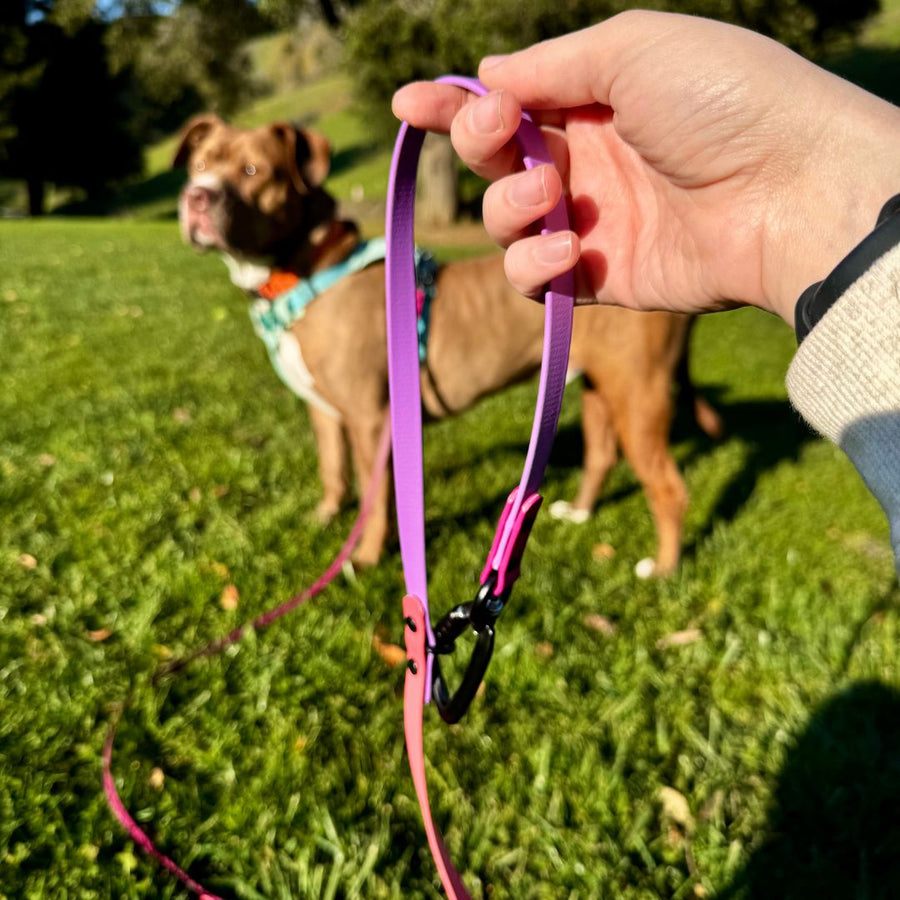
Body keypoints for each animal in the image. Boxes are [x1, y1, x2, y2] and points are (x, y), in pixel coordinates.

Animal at [178, 116, 724, 576]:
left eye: (253, 171)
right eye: (200, 165)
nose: (196, 198)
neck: (305, 270)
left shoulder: (370, 418)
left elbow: (377, 499)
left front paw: (367, 557)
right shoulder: (326, 412)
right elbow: (333, 470)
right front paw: (325, 516)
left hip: (638, 392)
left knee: (669, 489)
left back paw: (664, 569)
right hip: (597, 384)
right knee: (601, 455)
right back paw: (580, 512)